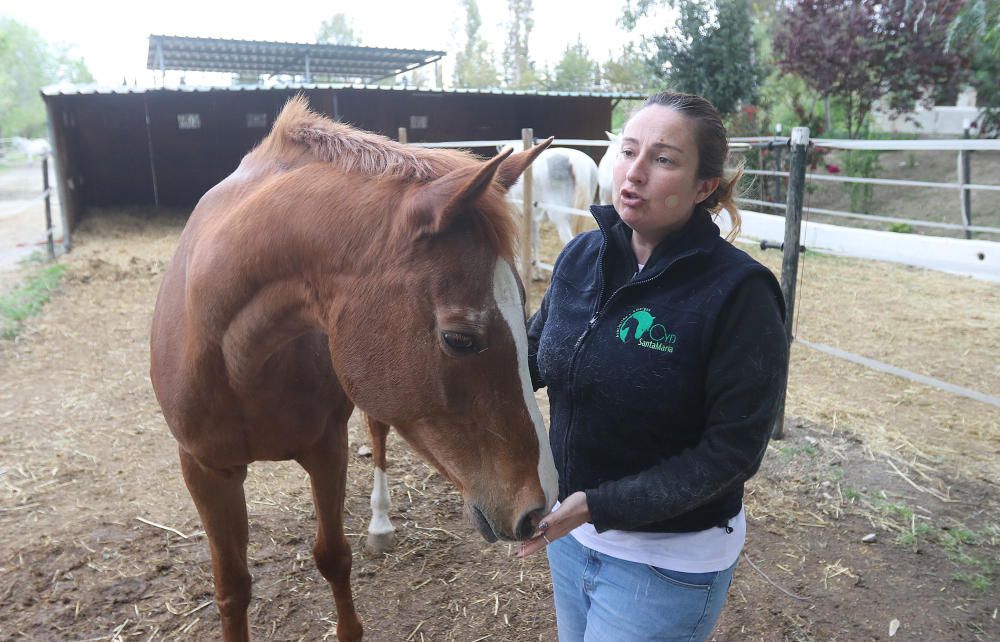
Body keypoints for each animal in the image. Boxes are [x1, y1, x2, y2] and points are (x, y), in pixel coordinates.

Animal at [149, 96, 560, 640]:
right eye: (459, 338)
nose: (541, 505)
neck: (237, 358)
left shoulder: (327, 448)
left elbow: (332, 556)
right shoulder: (204, 470)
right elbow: (232, 588)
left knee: (380, 441)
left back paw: (380, 524)